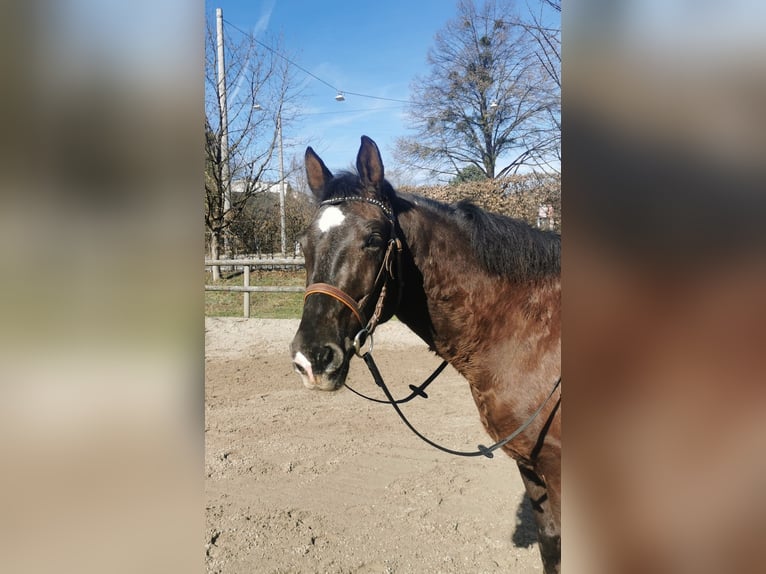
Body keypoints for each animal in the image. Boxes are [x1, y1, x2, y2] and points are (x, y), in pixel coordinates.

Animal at [290, 136, 561, 573]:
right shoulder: (532, 468)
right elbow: (551, 547)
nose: (312, 359)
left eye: (374, 239)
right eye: (303, 244)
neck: (529, 328)